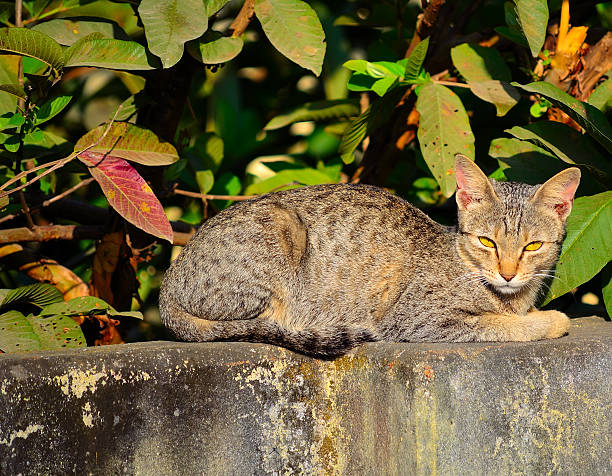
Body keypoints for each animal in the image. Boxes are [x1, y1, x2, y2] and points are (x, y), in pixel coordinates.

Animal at [158, 153, 580, 356]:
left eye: (533, 246)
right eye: (487, 242)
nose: (508, 273)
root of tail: (167, 286)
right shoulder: (419, 320)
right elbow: (499, 324)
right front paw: (548, 320)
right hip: (279, 230)